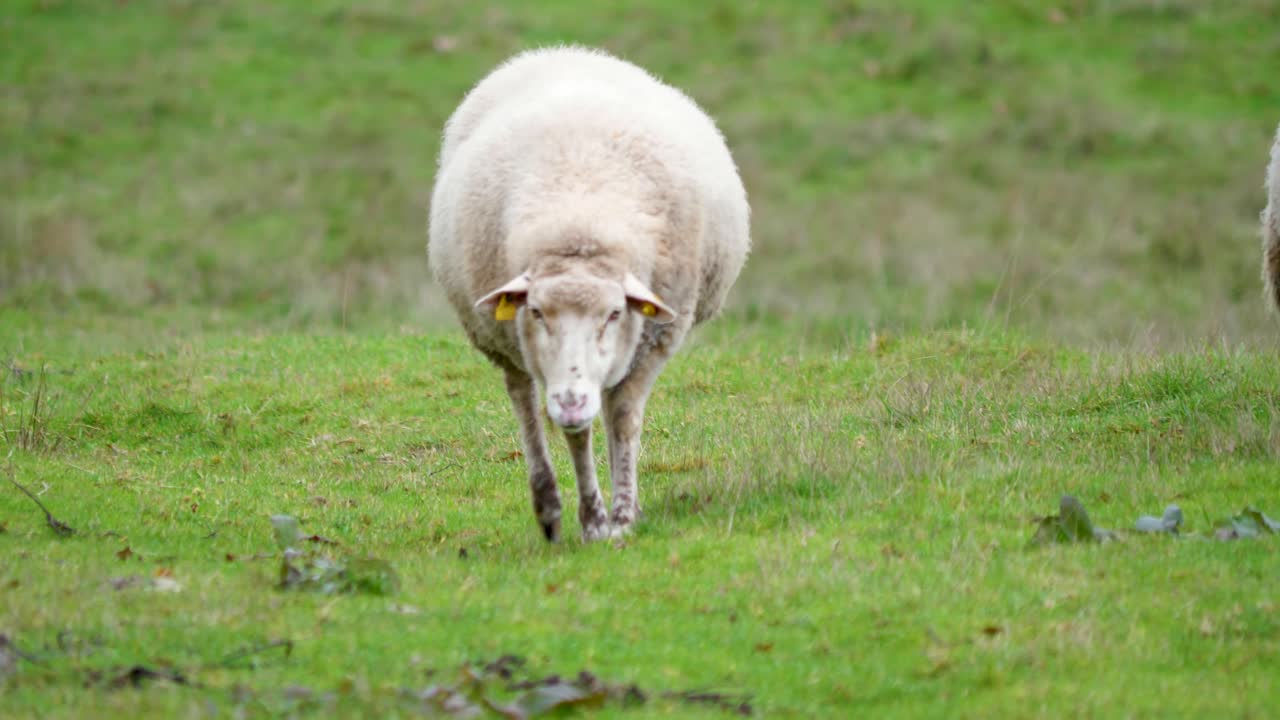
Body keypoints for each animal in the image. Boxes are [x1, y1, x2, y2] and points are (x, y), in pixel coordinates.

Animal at [427, 47, 750, 542]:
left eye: (615, 313)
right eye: (537, 312)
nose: (572, 402)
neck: (579, 226)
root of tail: (563, 51)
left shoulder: (653, 338)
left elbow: (624, 420)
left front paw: (622, 515)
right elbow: (575, 434)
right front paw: (593, 520)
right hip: (506, 346)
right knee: (524, 402)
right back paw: (548, 507)